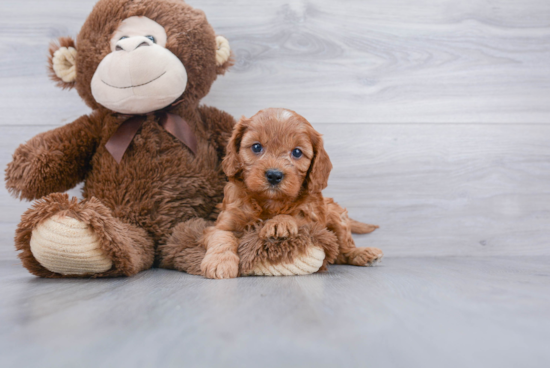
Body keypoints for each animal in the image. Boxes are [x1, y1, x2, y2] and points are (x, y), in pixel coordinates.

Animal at [202, 107, 384, 278]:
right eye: (256, 147)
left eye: (297, 152)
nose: (274, 175)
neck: (270, 202)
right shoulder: (226, 220)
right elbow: (221, 237)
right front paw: (219, 262)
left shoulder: (314, 218)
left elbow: (298, 218)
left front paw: (280, 223)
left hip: (336, 214)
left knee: (343, 249)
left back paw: (362, 253)